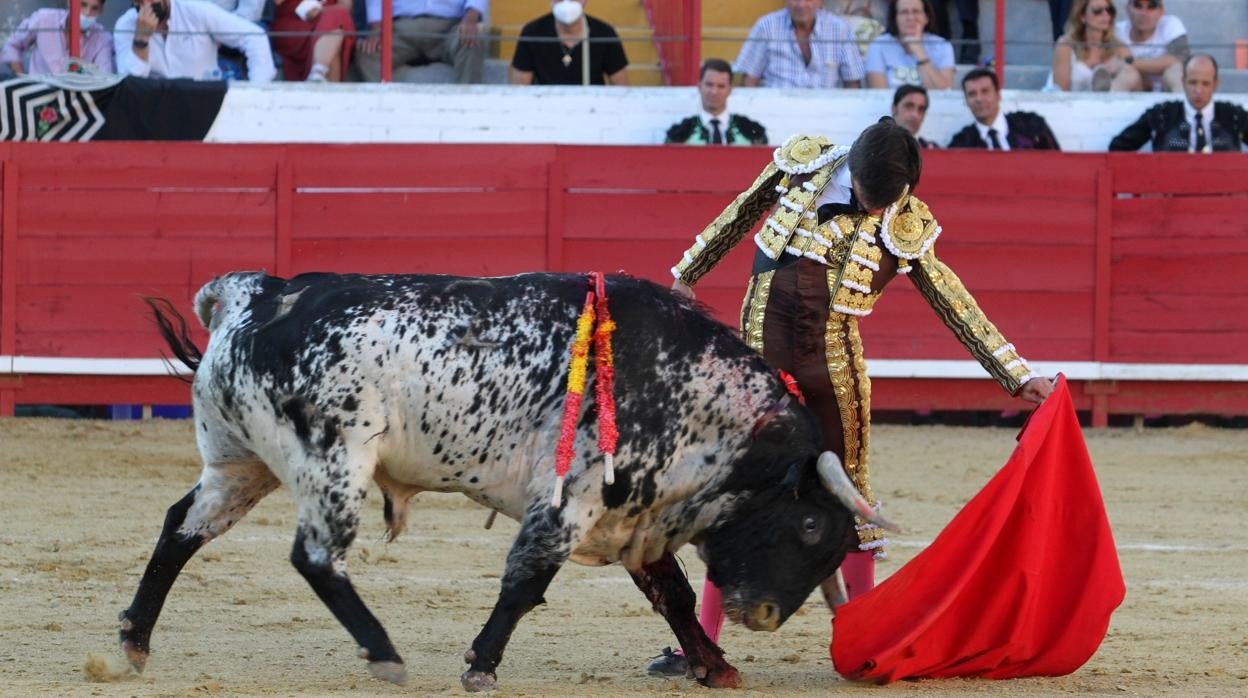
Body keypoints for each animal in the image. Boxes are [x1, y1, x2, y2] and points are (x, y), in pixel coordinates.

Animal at [119, 270, 898, 689]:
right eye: (808, 525)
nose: (763, 615)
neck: (690, 393)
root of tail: (257, 295)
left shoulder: (632, 517)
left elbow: (672, 594)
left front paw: (716, 667)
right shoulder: (570, 504)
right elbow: (527, 582)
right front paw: (481, 665)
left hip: (238, 464)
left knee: (181, 526)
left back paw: (135, 640)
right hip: (335, 464)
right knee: (314, 557)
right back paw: (385, 655)